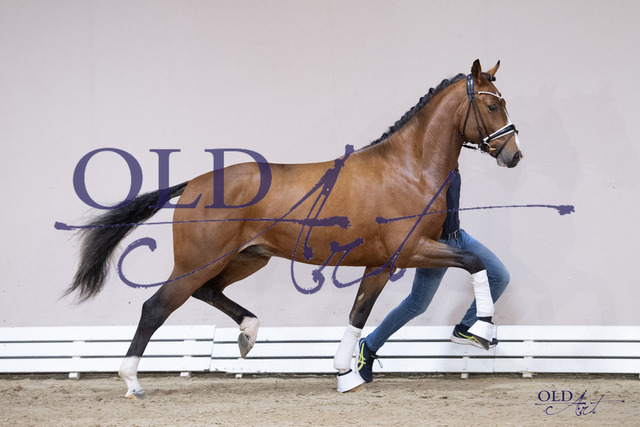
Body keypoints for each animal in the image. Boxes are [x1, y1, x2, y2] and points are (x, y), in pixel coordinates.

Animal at [64, 59, 522, 398]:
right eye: (492, 106)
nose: (514, 155)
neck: (407, 170)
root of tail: (193, 183)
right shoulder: (409, 251)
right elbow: (474, 261)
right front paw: (481, 330)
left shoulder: (381, 263)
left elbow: (359, 313)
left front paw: (345, 373)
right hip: (201, 260)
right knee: (156, 307)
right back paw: (131, 381)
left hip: (247, 259)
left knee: (208, 292)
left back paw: (248, 335)